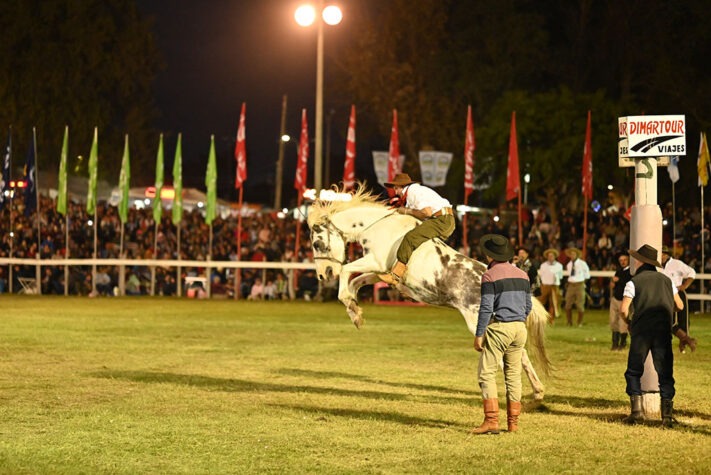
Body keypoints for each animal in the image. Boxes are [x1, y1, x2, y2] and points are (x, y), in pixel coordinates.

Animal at [307, 186, 552, 400]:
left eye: (318, 244)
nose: (323, 275)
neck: (377, 228)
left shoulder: (375, 261)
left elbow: (346, 272)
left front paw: (351, 304)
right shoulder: (380, 272)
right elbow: (356, 281)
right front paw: (355, 312)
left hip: (479, 322)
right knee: (520, 355)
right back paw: (537, 392)